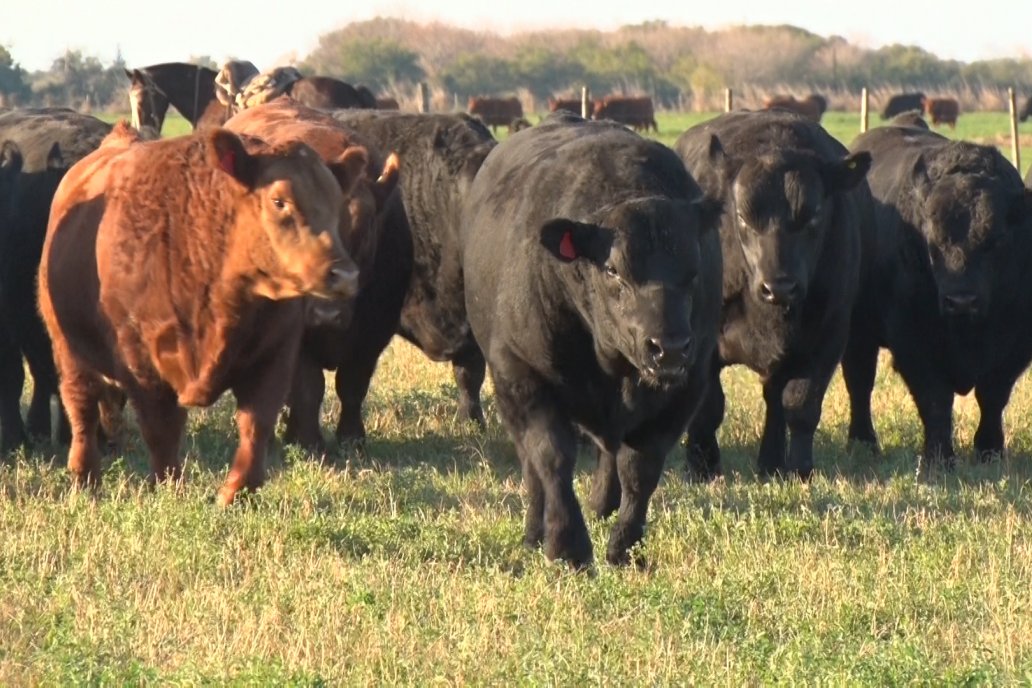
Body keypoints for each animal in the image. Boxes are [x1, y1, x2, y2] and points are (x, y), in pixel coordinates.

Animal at [41, 123, 371, 503]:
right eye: (279, 201)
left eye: (335, 203)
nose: (344, 274)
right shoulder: (142, 363)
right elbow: (162, 428)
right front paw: (169, 487)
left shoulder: (275, 357)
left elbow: (256, 424)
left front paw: (237, 492)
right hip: (69, 351)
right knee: (81, 409)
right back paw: (85, 480)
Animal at [464, 115, 722, 569]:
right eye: (613, 271)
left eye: (693, 271)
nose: (669, 347)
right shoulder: (520, 373)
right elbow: (550, 458)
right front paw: (567, 545)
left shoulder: (686, 388)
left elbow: (640, 467)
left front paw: (624, 547)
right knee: (533, 468)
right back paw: (535, 531)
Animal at [676, 110, 871, 482]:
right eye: (741, 216)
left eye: (814, 214)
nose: (779, 286)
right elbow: (708, 407)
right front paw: (702, 465)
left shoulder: (828, 336)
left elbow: (800, 404)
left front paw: (800, 468)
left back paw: (771, 461)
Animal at [842, 124, 1032, 468]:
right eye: (933, 241)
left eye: (995, 239)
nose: (961, 301)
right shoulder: (912, 343)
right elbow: (935, 400)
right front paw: (939, 457)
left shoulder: (1016, 345)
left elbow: (993, 395)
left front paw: (990, 451)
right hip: (858, 334)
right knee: (859, 384)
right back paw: (863, 442)